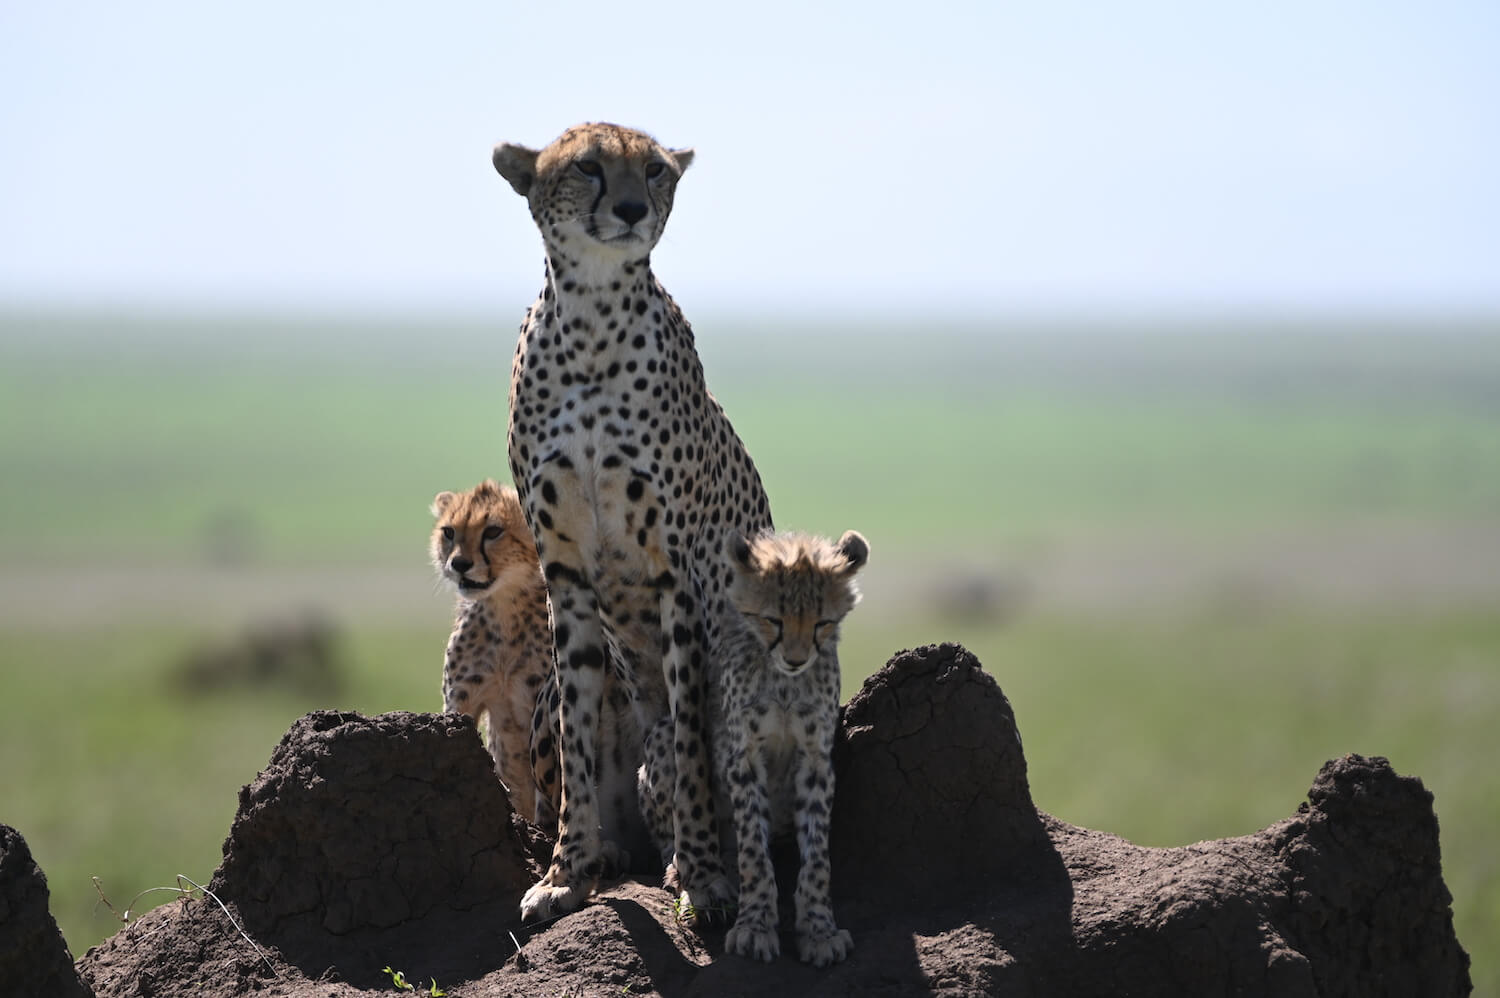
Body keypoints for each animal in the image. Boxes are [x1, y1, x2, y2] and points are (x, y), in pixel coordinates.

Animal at [492, 122, 773, 925]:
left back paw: (691, 862)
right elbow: (580, 740)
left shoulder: (677, 573)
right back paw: (617, 855)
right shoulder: (565, 574)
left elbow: (691, 747)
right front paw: (566, 873)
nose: (628, 208)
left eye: (653, 170)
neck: (592, 322)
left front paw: (707, 880)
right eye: (588, 166)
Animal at [640, 528, 868, 966]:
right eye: (772, 620)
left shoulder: (815, 759)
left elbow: (817, 855)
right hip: (666, 737)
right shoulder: (743, 757)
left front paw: (818, 929)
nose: (796, 659)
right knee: (672, 831)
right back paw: (684, 869)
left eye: (822, 623)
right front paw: (755, 926)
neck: (784, 680)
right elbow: (753, 852)